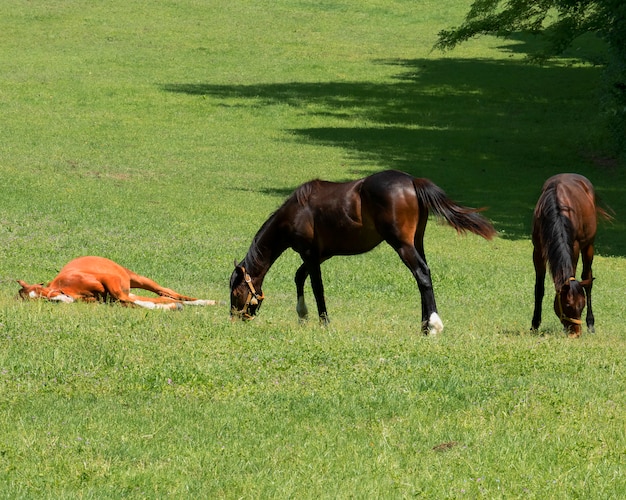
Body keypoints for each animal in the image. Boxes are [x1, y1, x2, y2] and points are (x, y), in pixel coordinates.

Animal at [227, 170, 494, 334]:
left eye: (236, 292)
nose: (234, 318)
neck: (298, 210)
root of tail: (412, 181)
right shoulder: (320, 255)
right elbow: (299, 277)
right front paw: (303, 316)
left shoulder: (310, 255)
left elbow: (316, 286)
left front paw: (324, 323)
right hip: (416, 242)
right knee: (424, 277)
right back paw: (424, 325)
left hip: (402, 245)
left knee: (422, 274)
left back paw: (433, 325)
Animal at [528, 174, 612, 338]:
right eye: (567, 305)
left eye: (582, 305)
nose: (576, 333)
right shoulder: (538, 251)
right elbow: (539, 288)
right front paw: (535, 325)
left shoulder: (574, 247)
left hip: (589, 246)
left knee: (588, 278)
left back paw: (591, 324)